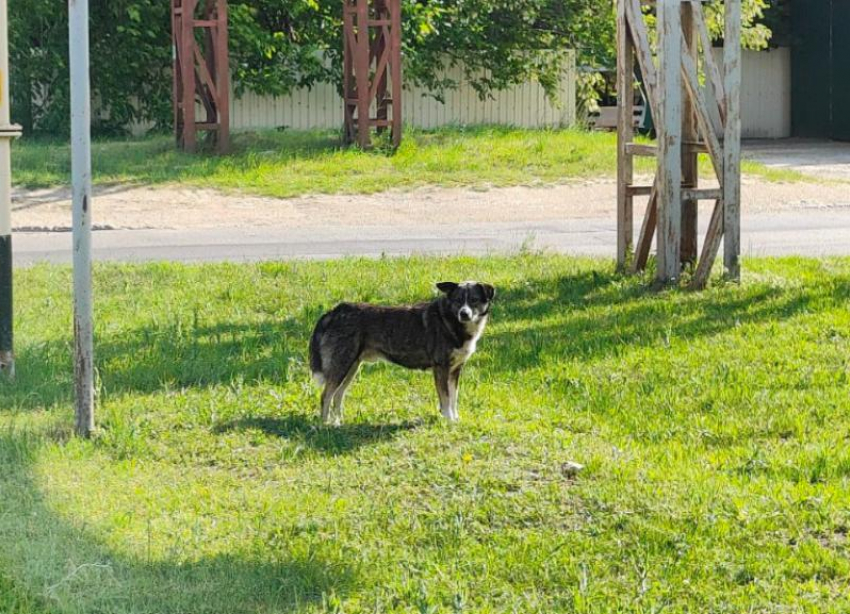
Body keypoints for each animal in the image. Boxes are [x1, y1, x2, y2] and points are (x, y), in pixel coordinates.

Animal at [308, 282, 494, 426]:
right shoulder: (441, 368)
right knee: (326, 395)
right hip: (342, 365)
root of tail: (335, 311)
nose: (464, 314)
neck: (450, 320)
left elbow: (454, 397)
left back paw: (338, 422)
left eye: (474, 300)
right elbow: (446, 399)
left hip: (351, 367)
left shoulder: (455, 370)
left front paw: (454, 419)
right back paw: (325, 425)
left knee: (338, 395)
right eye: (457, 300)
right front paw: (448, 420)